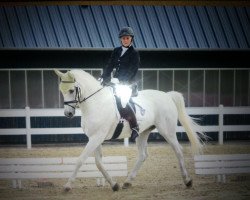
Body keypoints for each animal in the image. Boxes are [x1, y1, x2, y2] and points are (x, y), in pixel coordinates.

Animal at [53, 69, 204, 191]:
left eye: (71, 90)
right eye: (61, 90)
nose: (68, 114)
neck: (96, 103)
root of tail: (167, 96)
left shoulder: (97, 137)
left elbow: (80, 160)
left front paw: (67, 186)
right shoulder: (95, 138)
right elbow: (98, 163)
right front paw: (114, 184)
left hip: (167, 130)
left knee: (178, 150)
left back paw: (187, 181)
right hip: (143, 133)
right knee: (143, 155)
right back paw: (127, 182)